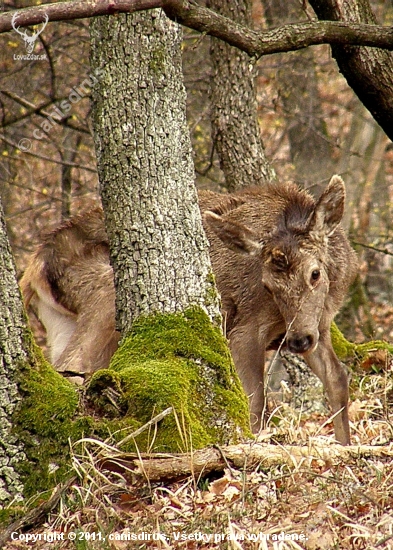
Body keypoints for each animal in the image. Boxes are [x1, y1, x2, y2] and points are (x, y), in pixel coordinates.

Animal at [21, 176, 358, 444]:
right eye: (268, 286)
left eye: (315, 273)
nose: (299, 341)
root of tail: (34, 266)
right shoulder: (245, 327)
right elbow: (254, 400)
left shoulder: (318, 325)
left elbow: (337, 379)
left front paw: (346, 445)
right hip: (104, 294)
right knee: (74, 366)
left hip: (62, 323)